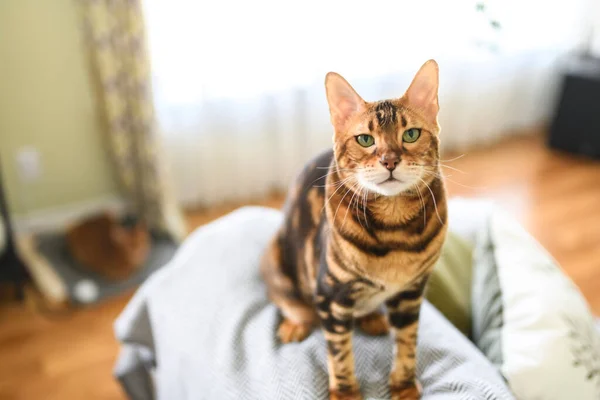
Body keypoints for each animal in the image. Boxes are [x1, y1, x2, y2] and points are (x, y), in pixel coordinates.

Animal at [260, 60, 448, 400]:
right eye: (365, 139)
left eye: (411, 134)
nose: (390, 160)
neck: (394, 230)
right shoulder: (331, 296)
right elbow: (339, 354)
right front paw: (346, 393)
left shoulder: (411, 292)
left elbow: (407, 343)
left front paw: (404, 386)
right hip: (275, 258)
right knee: (291, 304)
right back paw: (295, 324)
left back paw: (373, 319)